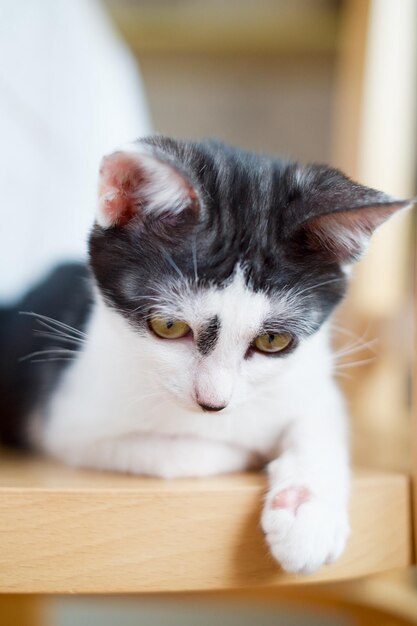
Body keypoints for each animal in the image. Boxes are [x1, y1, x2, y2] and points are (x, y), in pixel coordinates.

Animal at [0, 135, 410, 572]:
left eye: (273, 341)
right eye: (168, 326)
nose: (213, 402)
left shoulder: (310, 375)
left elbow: (320, 418)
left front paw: (307, 511)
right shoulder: (64, 423)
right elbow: (180, 454)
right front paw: (254, 452)